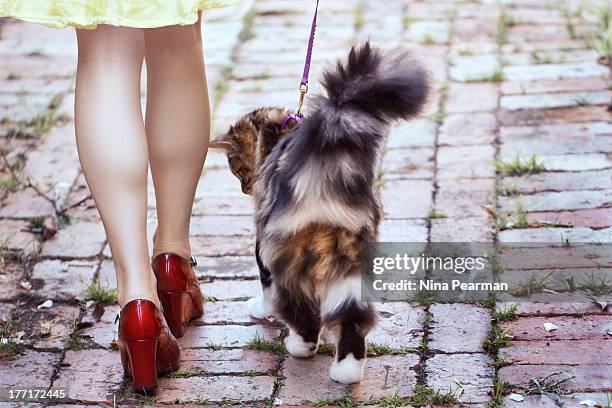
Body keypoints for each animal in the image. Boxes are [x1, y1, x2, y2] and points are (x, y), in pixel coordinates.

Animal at [210, 43, 430, 384]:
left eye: (236, 168)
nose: (247, 188)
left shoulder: (261, 246)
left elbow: (266, 288)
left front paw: (260, 309)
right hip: (353, 252)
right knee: (352, 313)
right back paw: (347, 370)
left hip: (286, 254)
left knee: (301, 311)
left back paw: (299, 346)